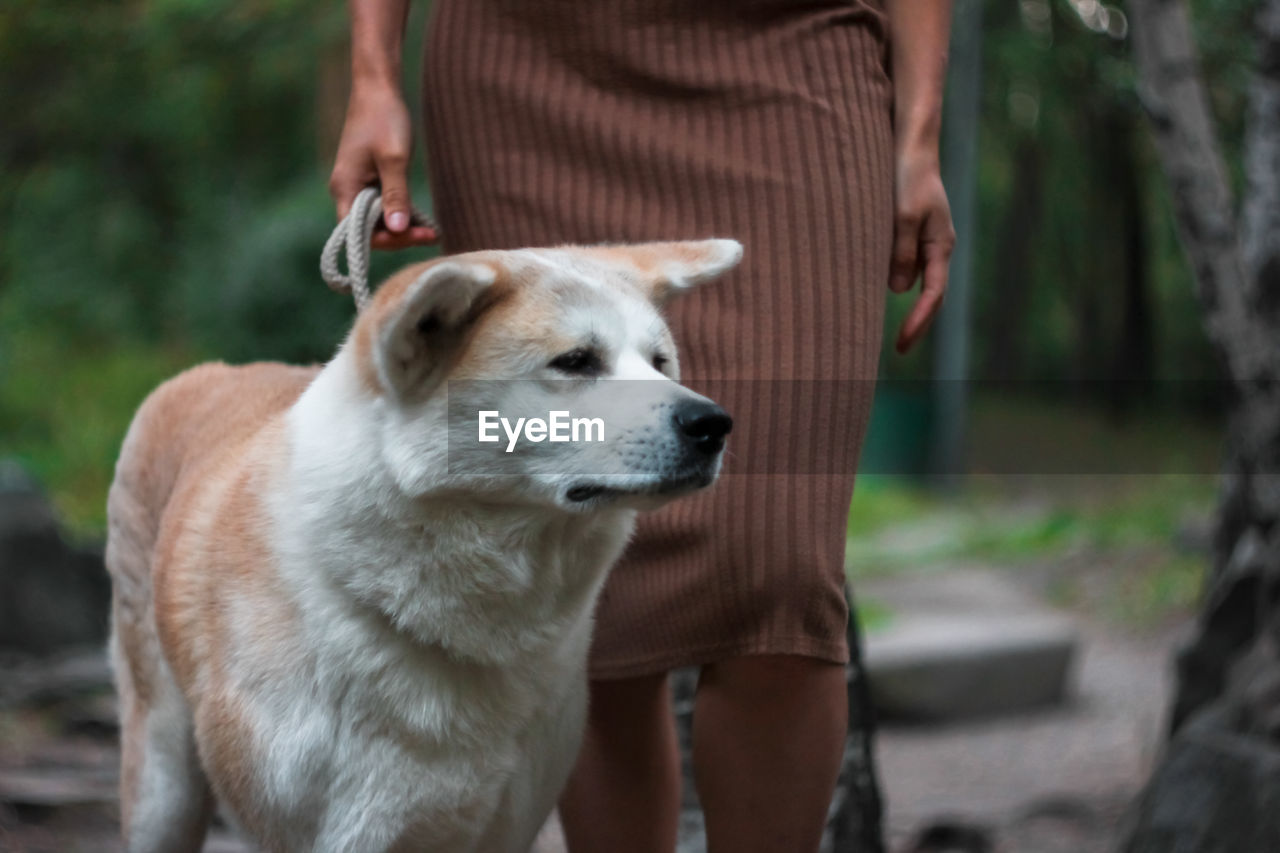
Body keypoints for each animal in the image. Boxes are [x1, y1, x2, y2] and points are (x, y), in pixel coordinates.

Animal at [106, 239, 747, 850]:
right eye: (575, 362)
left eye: (660, 362)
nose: (713, 424)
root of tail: (220, 370)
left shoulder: (506, 826)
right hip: (163, 790)